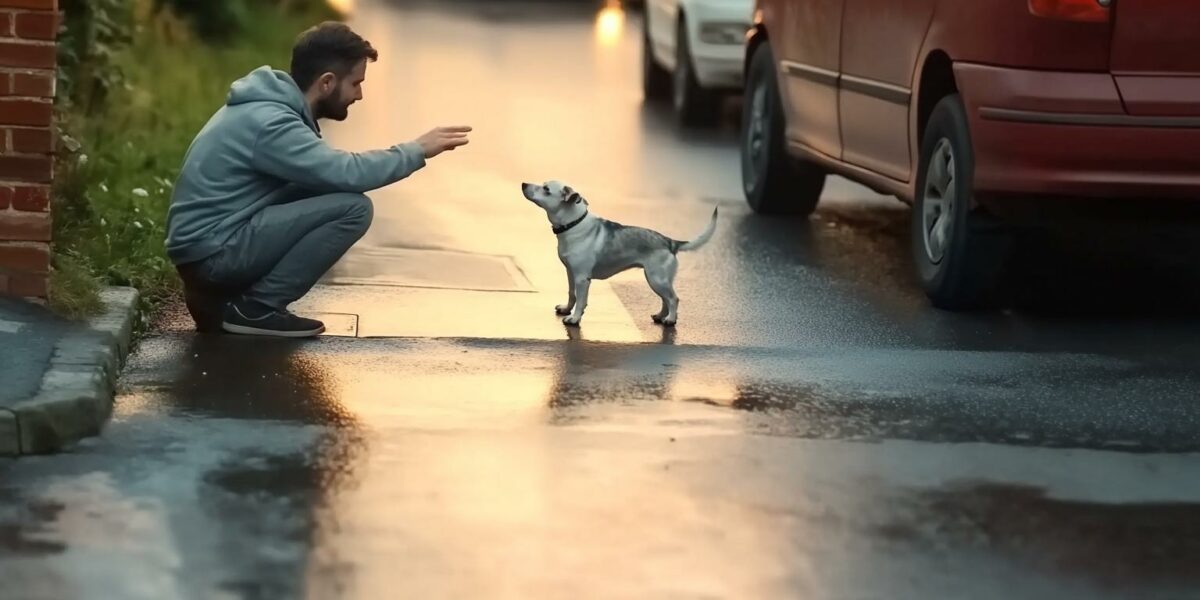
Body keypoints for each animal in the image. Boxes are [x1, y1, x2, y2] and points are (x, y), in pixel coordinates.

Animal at [523, 178, 710, 328]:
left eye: (546, 189)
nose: (523, 184)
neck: (573, 224)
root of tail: (670, 241)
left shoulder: (582, 278)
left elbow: (581, 300)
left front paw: (574, 318)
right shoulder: (570, 272)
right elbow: (572, 294)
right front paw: (566, 309)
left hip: (657, 279)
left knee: (673, 299)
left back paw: (670, 319)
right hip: (656, 280)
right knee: (665, 299)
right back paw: (660, 316)